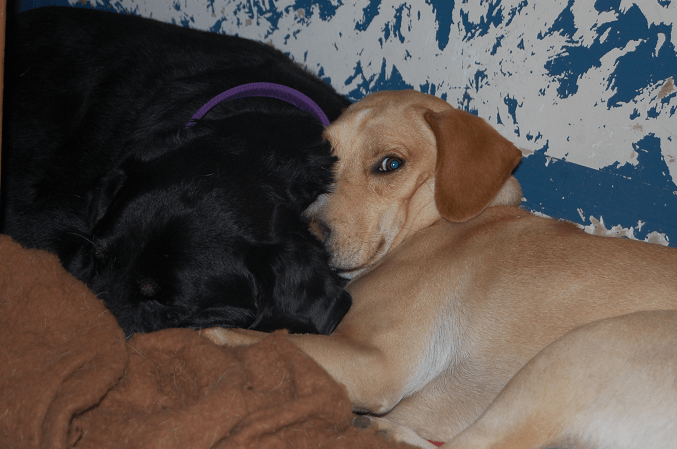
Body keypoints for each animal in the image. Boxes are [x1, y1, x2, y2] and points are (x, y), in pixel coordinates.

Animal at [205, 90, 677, 447]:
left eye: (390, 164)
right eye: (326, 159)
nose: (309, 236)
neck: (434, 227)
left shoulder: (375, 362)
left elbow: (265, 339)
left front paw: (209, 332)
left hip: (575, 353)